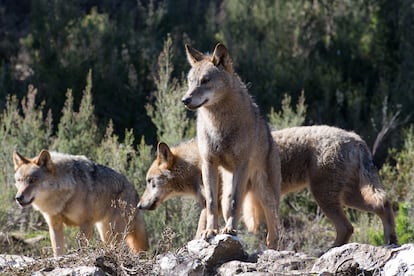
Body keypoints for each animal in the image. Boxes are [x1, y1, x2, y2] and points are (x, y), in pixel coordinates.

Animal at [13, 149, 149, 256]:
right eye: (19, 180)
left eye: (32, 180)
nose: (18, 197)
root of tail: (135, 192)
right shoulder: (55, 226)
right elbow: (58, 252)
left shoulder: (86, 224)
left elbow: (82, 248)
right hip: (105, 233)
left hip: (114, 233)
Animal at [139, 126, 398, 249]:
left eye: (150, 182)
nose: (139, 206)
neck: (196, 164)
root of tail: (357, 139)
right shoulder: (212, 205)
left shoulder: (214, 204)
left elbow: (200, 231)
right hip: (347, 197)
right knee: (383, 205)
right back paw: (391, 240)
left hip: (326, 197)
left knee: (348, 227)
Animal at [179, 43, 282, 250]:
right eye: (190, 81)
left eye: (205, 81)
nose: (185, 100)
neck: (218, 125)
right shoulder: (208, 164)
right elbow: (211, 203)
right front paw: (210, 231)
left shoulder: (242, 164)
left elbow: (236, 202)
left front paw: (230, 230)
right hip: (228, 190)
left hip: (265, 194)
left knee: (273, 231)